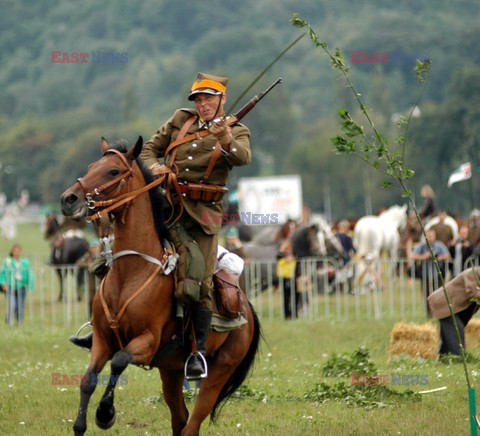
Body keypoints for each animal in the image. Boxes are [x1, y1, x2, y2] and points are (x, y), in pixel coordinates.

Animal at [61, 137, 262, 436]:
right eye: (90, 167)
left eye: (112, 171)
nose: (69, 199)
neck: (131, 272)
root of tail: (246, 308)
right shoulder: (101, 340)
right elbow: (88, 379)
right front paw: (81, 423)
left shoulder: (146, 341)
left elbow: (119, 360)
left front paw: (105, 413)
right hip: (171, 370)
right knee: (180, 418)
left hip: (220, 369)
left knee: (194, 419)